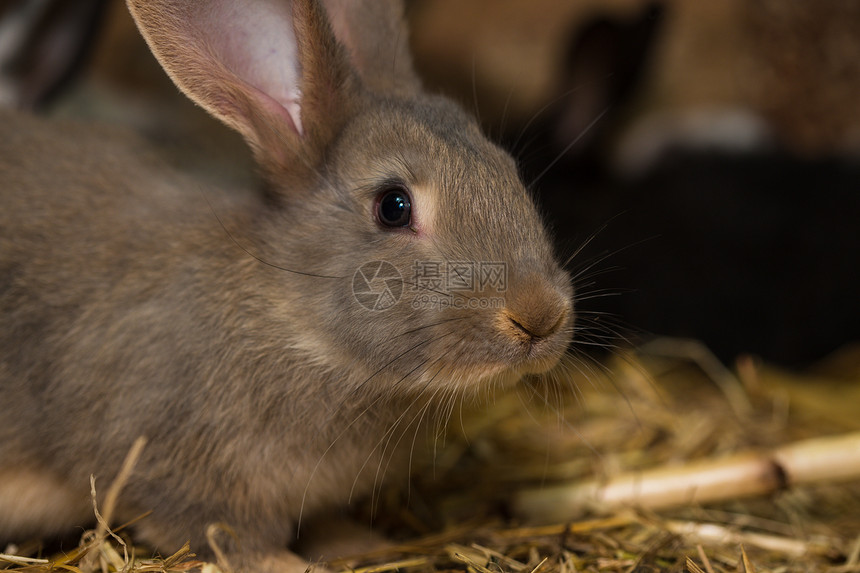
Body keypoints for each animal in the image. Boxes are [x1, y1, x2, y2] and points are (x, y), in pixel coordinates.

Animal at [1, 1, 576, 572]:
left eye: (508, 169)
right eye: (393, 206)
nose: (540, 317)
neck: (296, 327)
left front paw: (358, 543)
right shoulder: (168, 464)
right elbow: (221, 535)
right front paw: (293, 564)